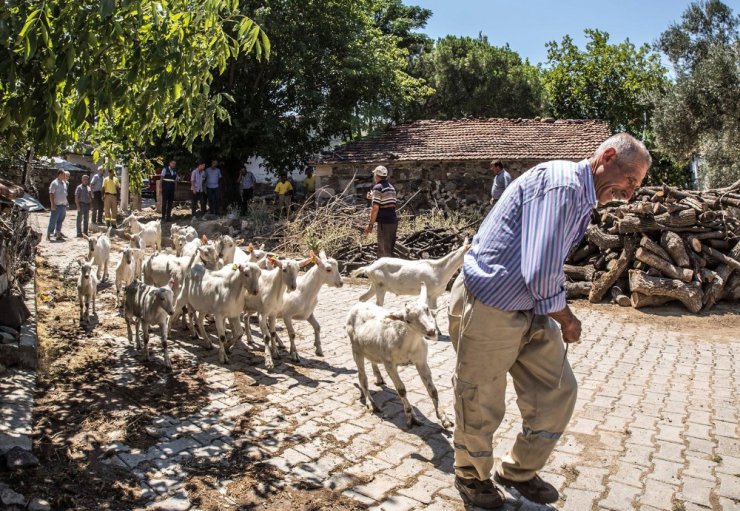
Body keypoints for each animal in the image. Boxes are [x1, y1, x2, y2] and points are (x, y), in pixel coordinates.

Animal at [346, 286, 450, 430]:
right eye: (407, 320)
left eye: (427, 309)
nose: (431, 331)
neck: (408, 344)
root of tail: (358, 305)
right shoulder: (389, 364)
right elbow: (401, 390)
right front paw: (411, 417)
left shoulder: (421, 360)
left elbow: (433, 390)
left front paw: (444, 418)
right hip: (356, 348)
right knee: (362, 377)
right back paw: (371, 403)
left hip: (371, 346)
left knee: (373, 360)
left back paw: (378, 378)